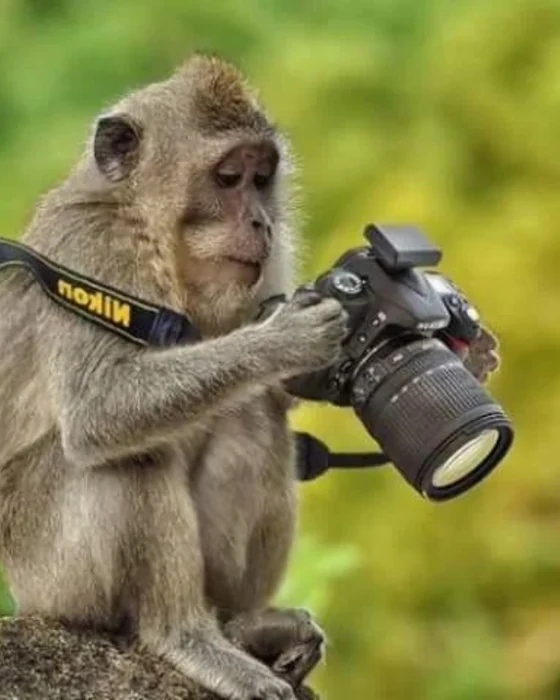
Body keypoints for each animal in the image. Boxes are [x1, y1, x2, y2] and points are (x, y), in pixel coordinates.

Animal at [0, 53, 346, 700]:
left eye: (261, 177)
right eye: (228, 178)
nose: (261, 223)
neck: (146, 226)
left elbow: (276, 399)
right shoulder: (92, 252)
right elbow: (99, 409)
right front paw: (281, 340)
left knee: (249, 415)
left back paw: (244, 626)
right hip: (51, 576)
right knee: (133, 454)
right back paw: (183, 635)